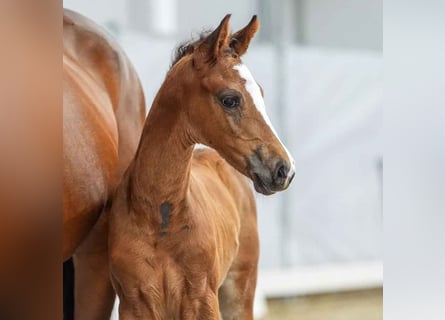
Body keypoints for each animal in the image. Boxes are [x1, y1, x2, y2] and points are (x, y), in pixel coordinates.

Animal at [108, 13, 294, 318]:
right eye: (230, 99)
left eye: (261, 93)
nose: (284, 169)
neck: (159, 218)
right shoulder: (134, 304)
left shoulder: (202, 299)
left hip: (239, 291)